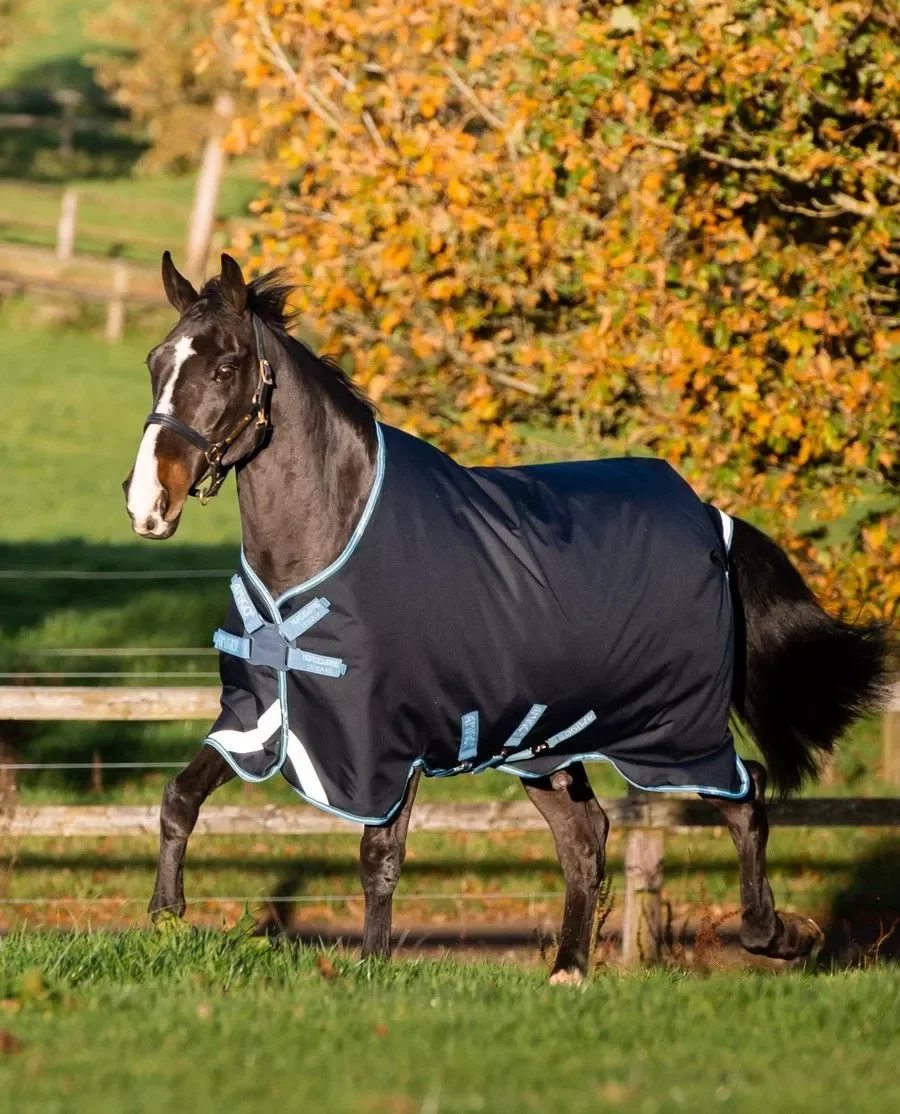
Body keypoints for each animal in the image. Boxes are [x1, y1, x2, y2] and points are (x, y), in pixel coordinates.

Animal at [123, 252, 891, 980]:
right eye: (155, 363)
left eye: (226, 365)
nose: (146, 502)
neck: (329, 539)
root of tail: (709, 516)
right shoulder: (260, 717)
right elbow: (179, 796)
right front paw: (164, 921)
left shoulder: (389, 744)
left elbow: (380, 857)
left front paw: (369, 970)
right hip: (544, 743)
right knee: (587, 839)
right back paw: (568, 970)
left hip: (674, 731)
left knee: (744, 795)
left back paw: (781, 936)